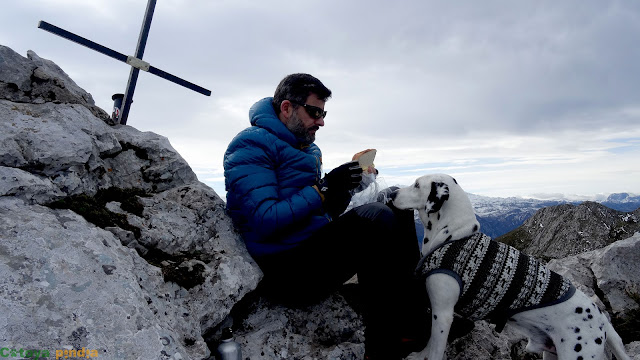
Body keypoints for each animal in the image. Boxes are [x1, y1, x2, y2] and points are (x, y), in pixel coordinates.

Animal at [390, 174, 632, 360]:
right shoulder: (436, 311)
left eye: (417, 185)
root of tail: (601, 318)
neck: (454, 236)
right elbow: (429, 343)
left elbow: (436, 348)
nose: (391, 194)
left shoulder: (443, 314)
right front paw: (419, 356)